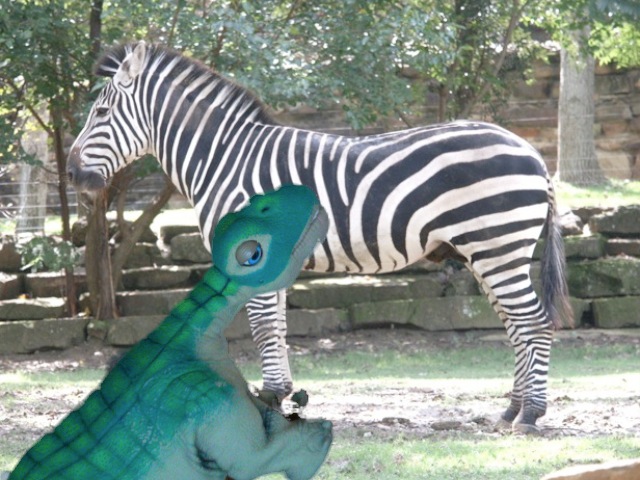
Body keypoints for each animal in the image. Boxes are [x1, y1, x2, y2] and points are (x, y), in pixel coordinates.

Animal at [67, 42, 572, 433]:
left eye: (102, 112)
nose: (72, 174)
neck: (224, 159)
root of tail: (530, 150)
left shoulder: (251, 253)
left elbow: (263, 327)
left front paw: (270, 400)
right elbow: (276, 327)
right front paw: (282, 395)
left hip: (497, 246)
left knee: (533, 322)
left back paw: (531, 414)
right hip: (490, 251)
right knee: (515, 324)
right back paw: (510, 409)